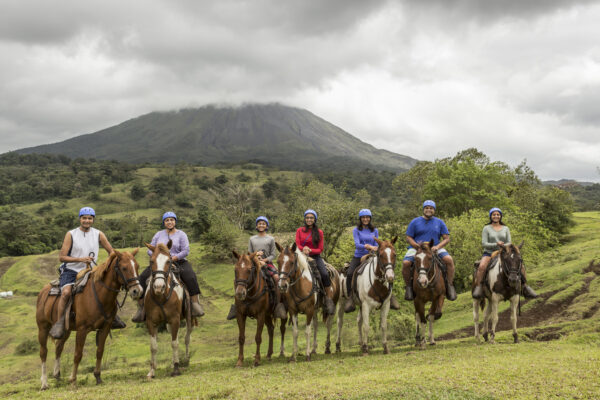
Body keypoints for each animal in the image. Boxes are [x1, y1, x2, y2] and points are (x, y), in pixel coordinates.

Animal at [35, 250, 142, 390]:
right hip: (43, 328)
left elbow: (100, 351)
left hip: (66, 330)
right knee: (43, 352)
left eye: (137, 266)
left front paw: (98, 377)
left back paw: (57, 376)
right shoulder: (82, 330)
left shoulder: (105, 328)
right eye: (124, 268)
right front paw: (73, 380)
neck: (99, 294)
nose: (137, 291)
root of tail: (43, 292)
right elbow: (78, 354)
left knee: (59, 347)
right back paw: (44, 383)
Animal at [144, 241, 195, 378]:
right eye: (151, 261)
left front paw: (176, 369)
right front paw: (152, 371)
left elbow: (175, 343)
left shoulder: (175, 319)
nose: (158, 287)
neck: (161, 296)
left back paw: (185, 359)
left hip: (188, 319)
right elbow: (153, 346)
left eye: (169, 261)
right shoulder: (151, 322)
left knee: (186, 337)